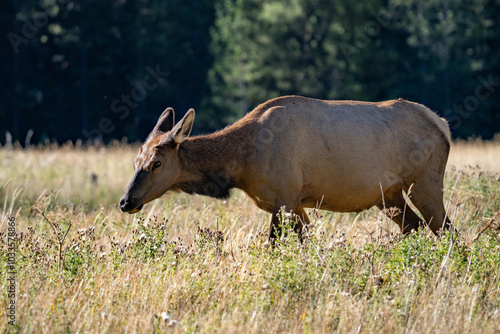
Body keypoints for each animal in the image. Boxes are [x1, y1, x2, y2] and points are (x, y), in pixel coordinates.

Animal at [119, 95, 452, 241]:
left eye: (156, 163)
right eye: (135, 161)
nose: (126, 201)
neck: (242, 164)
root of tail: (443, 124)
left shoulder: (284, 198)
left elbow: (273, 245)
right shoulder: (295, 203)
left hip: (425, 183)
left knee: (445, 229)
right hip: (389, 195)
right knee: (414, 227)